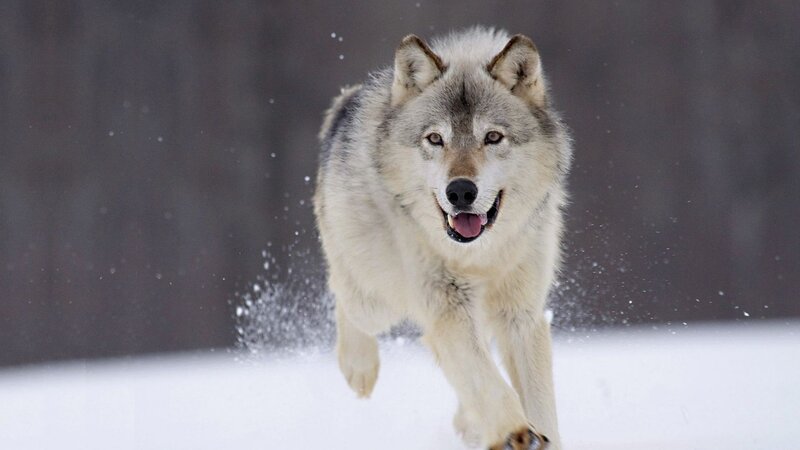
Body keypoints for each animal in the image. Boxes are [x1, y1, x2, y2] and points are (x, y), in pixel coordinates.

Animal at [313, 27, 572, 450]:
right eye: (435, 139)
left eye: (493, 137)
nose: (461, 191)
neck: (480, 256)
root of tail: (345, 102)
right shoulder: (446, 306)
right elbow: (487, 381)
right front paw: (515, 432)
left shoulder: (522, 314)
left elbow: (537, 400)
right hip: (377, 298)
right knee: (343, 295)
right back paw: (359, 369)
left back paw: (468, 423)